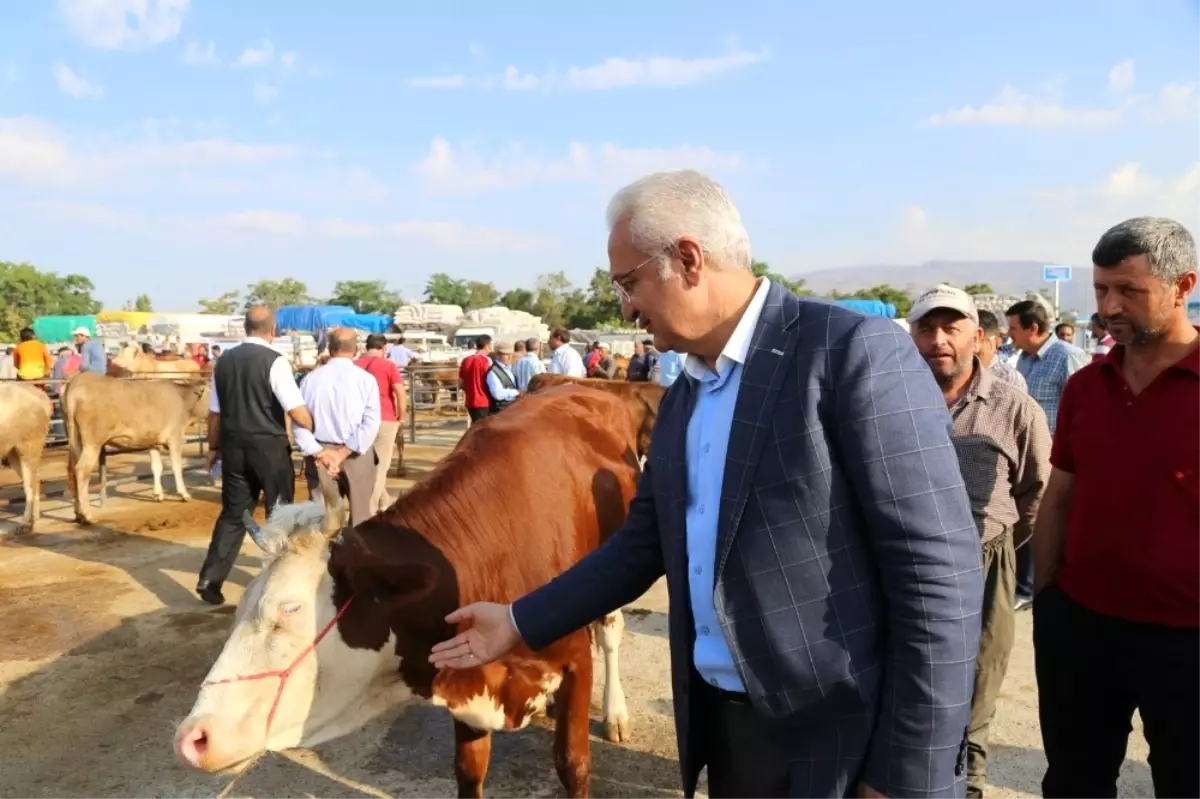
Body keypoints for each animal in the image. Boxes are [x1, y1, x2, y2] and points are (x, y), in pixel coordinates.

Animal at [0, 383, 54, 532]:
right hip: (14, 450)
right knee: (31, 480)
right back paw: (30, 520)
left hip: (30, 445)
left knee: (33, 480)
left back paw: (30, 522)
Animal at [60, 374, 210, 523]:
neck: (183, 400)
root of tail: (78, 379)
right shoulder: (175, 438)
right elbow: (176, 467)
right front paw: (184, 494)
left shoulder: (153, 442)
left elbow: (156, 467)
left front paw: (158, 494)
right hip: (93, 443)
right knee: (82, 470)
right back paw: (87, 514)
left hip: (75, 440)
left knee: (73, 469)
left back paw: (77, 513)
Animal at [174, 383, 652, 791]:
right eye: (240, 610)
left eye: (288, 610)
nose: (191, 738)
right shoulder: (466, 674)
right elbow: (469, 770)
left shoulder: (575, 663)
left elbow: (574, 765)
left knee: (610, 633)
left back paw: (615, 713)